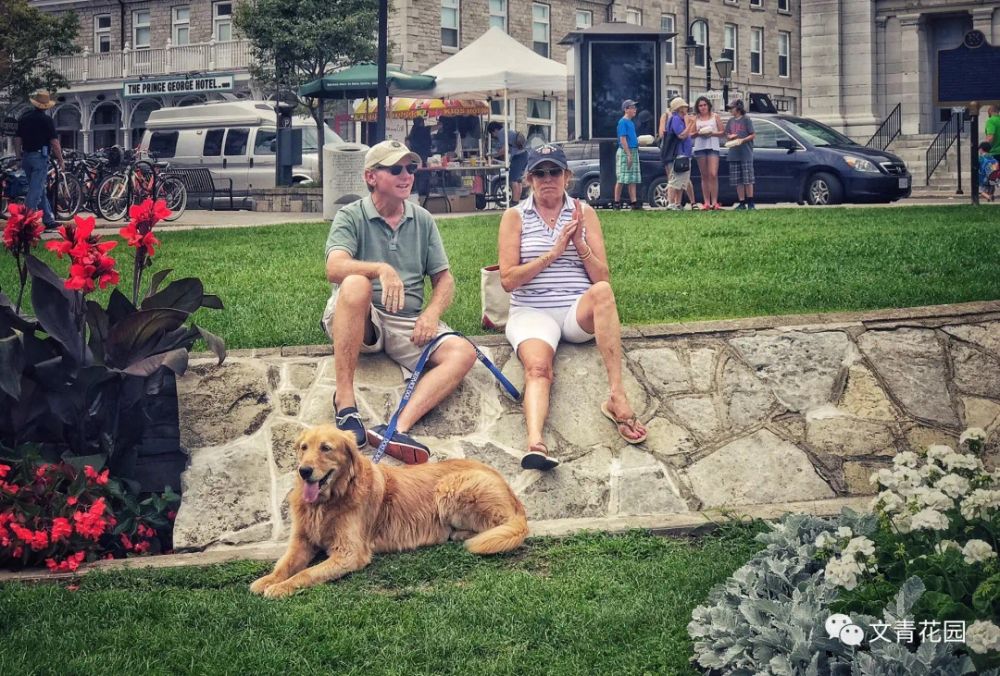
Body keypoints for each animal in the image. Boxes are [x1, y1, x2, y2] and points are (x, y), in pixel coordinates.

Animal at [250, 424, 529, 598]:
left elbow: (306, 573)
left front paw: (281, 588)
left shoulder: (349, 553)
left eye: (326, 448)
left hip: (451, 487)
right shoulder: (302, 540)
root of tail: (506, 485)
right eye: (304, 447)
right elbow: (284, 564)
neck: (328, 501)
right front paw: (268, 580)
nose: (304, 471)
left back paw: (459, 534)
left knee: (497, 526)